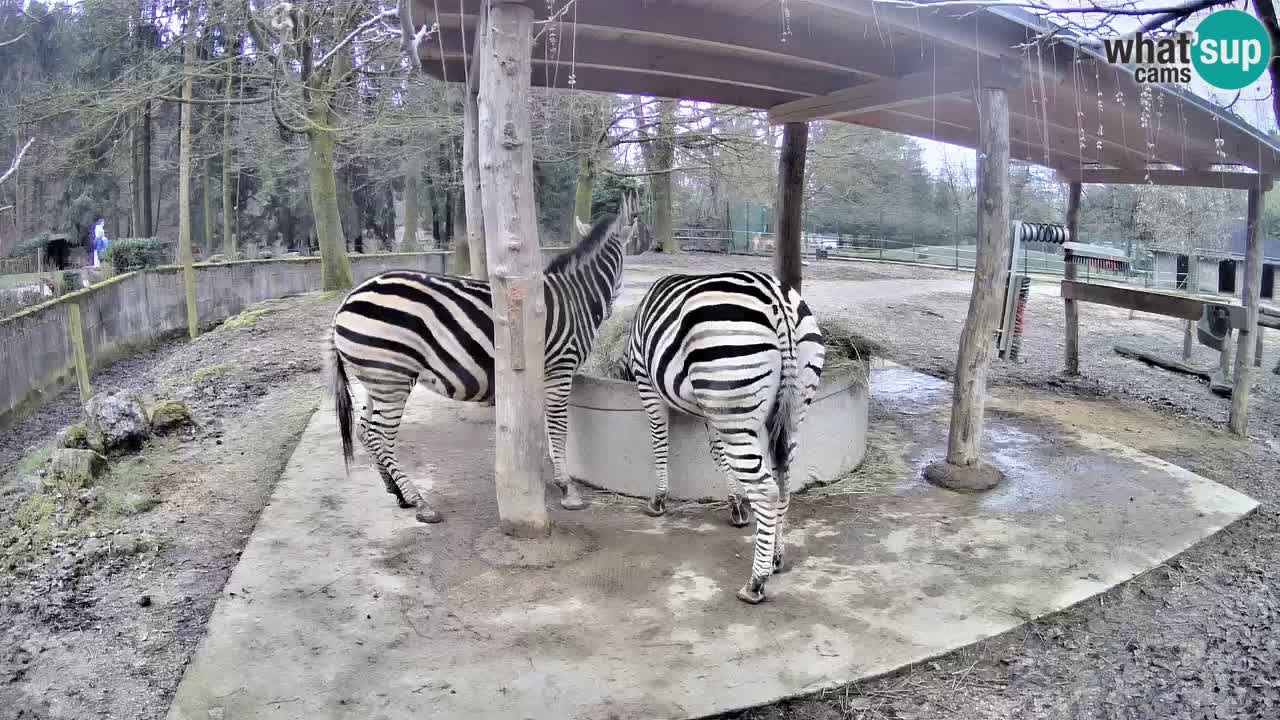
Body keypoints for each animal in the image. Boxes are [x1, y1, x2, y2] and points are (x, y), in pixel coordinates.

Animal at [325, 196, 645, 520]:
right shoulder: (560, 368)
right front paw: (568, 488)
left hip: (376, 378)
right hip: (392, 378)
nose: (611, 311)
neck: (576, 296)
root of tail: (346, 301)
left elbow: (547, 427)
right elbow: (558, 426)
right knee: (380, 437)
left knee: (364, 432)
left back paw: (397, 493)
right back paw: (419, 502)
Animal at [614, 269, 824, 599]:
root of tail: (777, 298)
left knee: (766, 490)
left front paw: (658, 499)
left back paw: (755, 582)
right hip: (790, 407)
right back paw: (776, 558)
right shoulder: (712, 411)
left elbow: (660, 442)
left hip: (734, 391)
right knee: (784, 481)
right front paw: (736, 504)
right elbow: (718, 454)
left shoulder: (648, 384)